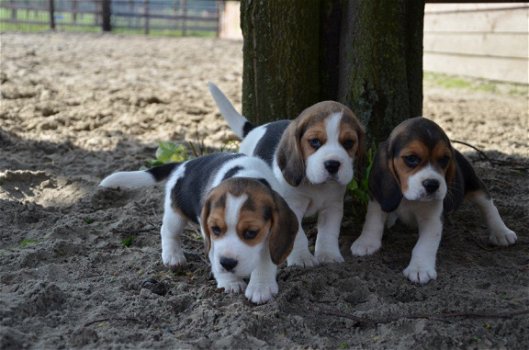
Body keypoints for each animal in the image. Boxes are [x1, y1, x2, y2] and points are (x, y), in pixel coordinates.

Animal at [99, 153, 296, 304]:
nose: (227, 263)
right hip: (174, 214)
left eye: (251, 233)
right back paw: (173, 256)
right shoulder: (210, 236)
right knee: (168, 231)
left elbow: (266, 258)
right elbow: (214, 254)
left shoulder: (270, 235)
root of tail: (184, 164)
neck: (246, 174)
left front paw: (260, 286)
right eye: (215, 229)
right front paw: (230, 281)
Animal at [350, 117, 516, 284]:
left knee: (488, 205)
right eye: (411, 158)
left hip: (475, 184)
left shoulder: (433, 219)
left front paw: (419, 269)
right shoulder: (378, 201)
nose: (432, 185)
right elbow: (373, 221)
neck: (409, 199)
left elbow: (425, 244)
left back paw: (502, 232)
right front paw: (366, 242)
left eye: (444, 159)